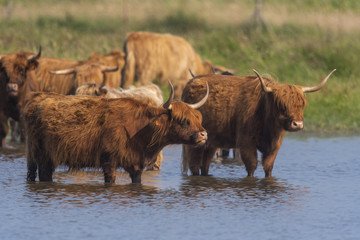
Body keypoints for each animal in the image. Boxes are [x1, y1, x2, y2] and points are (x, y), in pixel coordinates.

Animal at [25, 82, 210, 184]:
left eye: (197, 118)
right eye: (183, 120)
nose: (204, 135)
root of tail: (37, 99)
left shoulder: (136, 165)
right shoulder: (109, 160)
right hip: (42, 156)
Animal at [181, 68, 336, 177]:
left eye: (302, 104)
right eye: (281, 104)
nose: (297, 124)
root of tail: (190, 83)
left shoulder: (274, 146)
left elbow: (268, 167)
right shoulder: (246, 143)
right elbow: (252, 166)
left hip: (211, 142)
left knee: (205, 164)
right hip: (196, 141)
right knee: (195, 164)